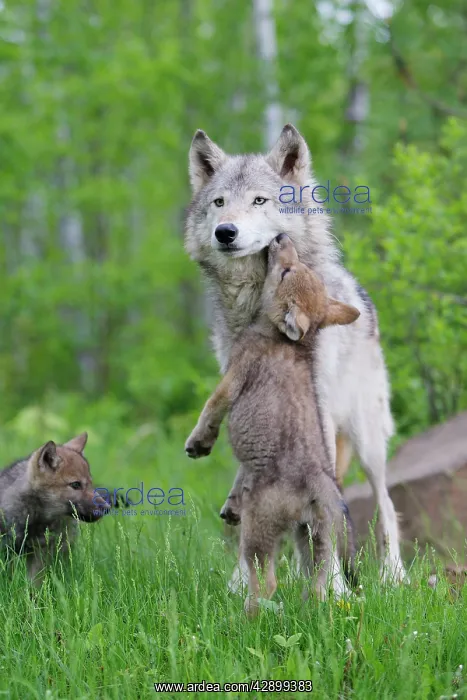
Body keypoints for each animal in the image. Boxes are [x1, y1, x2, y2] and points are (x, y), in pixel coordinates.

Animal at [0, 432, 109, 581]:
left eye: (91, 484)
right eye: (76, 484)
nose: (107, 507)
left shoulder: (40, 553)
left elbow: (34, 582)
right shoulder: (8, 550)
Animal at [185, 234, 359, 615]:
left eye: (286, 271)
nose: (281, 238)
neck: (288, 341)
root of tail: (319, 482)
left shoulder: (233, 377)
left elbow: (210, 411)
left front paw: (198, 444)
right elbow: (240, 473)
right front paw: (231, 504)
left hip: (260, 535)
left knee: (266, 583)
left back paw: (241, 616)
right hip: (314, 544)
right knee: (319, 590)